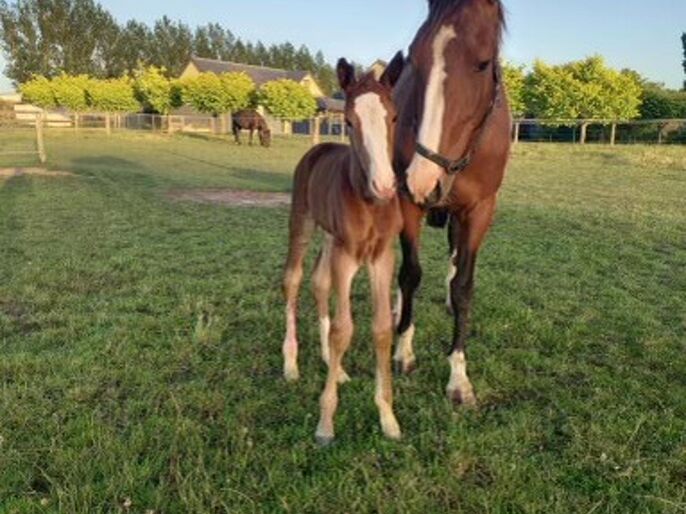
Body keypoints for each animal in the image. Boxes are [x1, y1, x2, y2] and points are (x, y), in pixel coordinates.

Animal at [281, 52, 405, 445]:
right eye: (349, 121)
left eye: (393, 116)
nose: (385, 185)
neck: (370, 204)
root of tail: (320, 147)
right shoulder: (348, 257)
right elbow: (343, 330)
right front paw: (325, 424)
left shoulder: (382, 258)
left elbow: (381, 328)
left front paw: (388, 418)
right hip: (303, 223)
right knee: (292, 280)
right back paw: (290, 364)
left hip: (329, 237)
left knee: (319, 284)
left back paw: (331, 366)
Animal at [392, 0, 511, 407]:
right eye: (415, 58)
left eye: (483, 62)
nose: (424, 179)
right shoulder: (406, 201)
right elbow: (410, 273)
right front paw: (403, 351)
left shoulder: (480, 210)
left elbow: (463, 285)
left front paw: (458, 376)